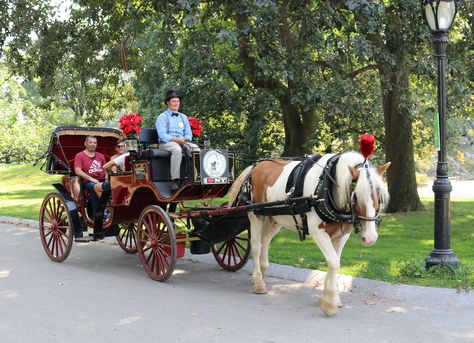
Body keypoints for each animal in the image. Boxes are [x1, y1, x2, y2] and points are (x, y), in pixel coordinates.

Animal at [228, 152, 390, 318]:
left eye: (379, 194)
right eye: (356, 195)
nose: (370, 237)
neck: (326, 186)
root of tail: (256, 165)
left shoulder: (342, 234)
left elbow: (335, 262)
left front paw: (331, 298)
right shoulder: (316, 231)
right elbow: (333, 262)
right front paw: (329, 303)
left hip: (275, 218)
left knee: (265, 240)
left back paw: (263, 269)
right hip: (255, 214)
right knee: (256, 246)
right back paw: (258, 282)